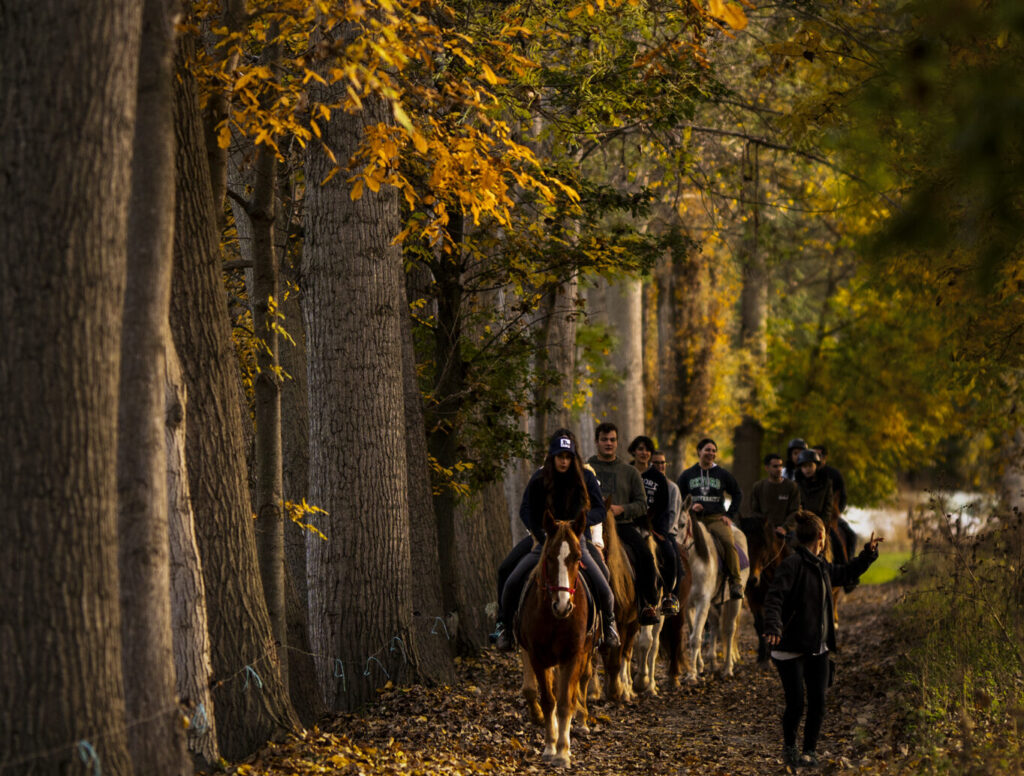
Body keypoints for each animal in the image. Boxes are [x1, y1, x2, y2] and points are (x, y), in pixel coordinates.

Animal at [516, 507, 598, 769]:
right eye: (550, 557)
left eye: (577, 557)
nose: (563, 606)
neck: (556, 619)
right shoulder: (538, 657)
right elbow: (549, 701)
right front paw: (550, 748)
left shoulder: (572, 656)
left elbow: (564, 703)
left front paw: (563, 752)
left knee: (578, 685)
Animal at [675, 501, 749, 683]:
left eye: (682, 524)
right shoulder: (689, 605)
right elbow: (694, 633)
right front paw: (698, 668)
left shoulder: (702, 602)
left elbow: (696, 638)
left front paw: (692, 676)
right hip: (714, 603)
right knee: (715, 626)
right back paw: (712, 663)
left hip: (734, 601)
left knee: (729, 630)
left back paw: (727, 669)